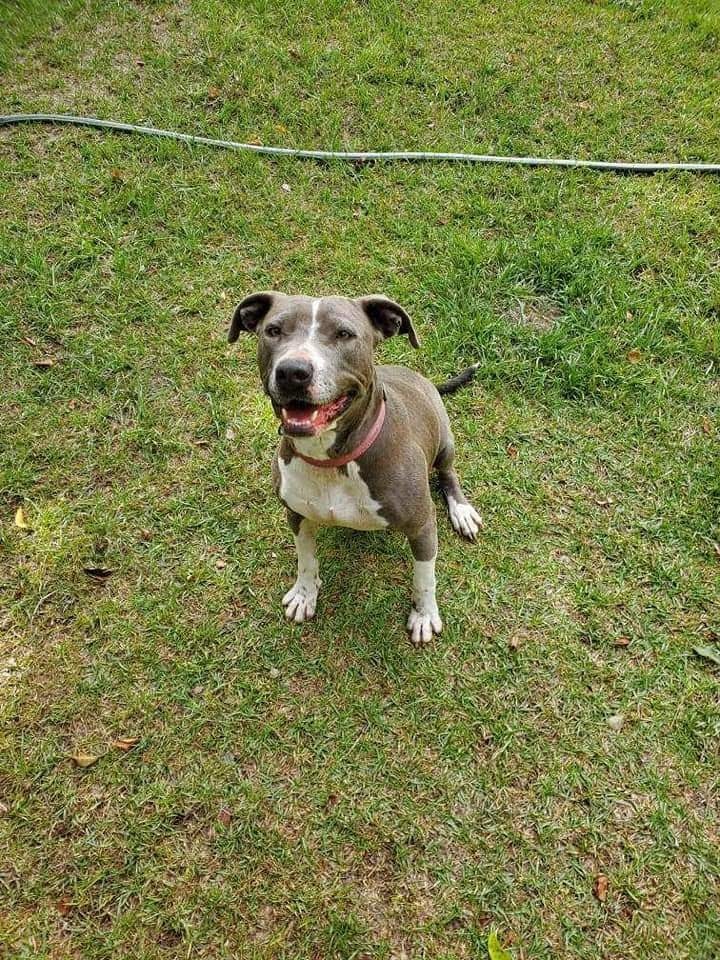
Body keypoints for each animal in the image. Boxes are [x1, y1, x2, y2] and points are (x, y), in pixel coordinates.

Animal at [228, 292, 480, 644]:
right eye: (274, 330)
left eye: (344, 334)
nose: (292, 371)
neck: (331, 460)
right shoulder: (295, 514)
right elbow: (306, 559)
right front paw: (305, 594)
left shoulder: (422, 525)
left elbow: (424, 577)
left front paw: (425, 615)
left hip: (444, 442)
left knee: (448, 473)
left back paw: (462, 511)